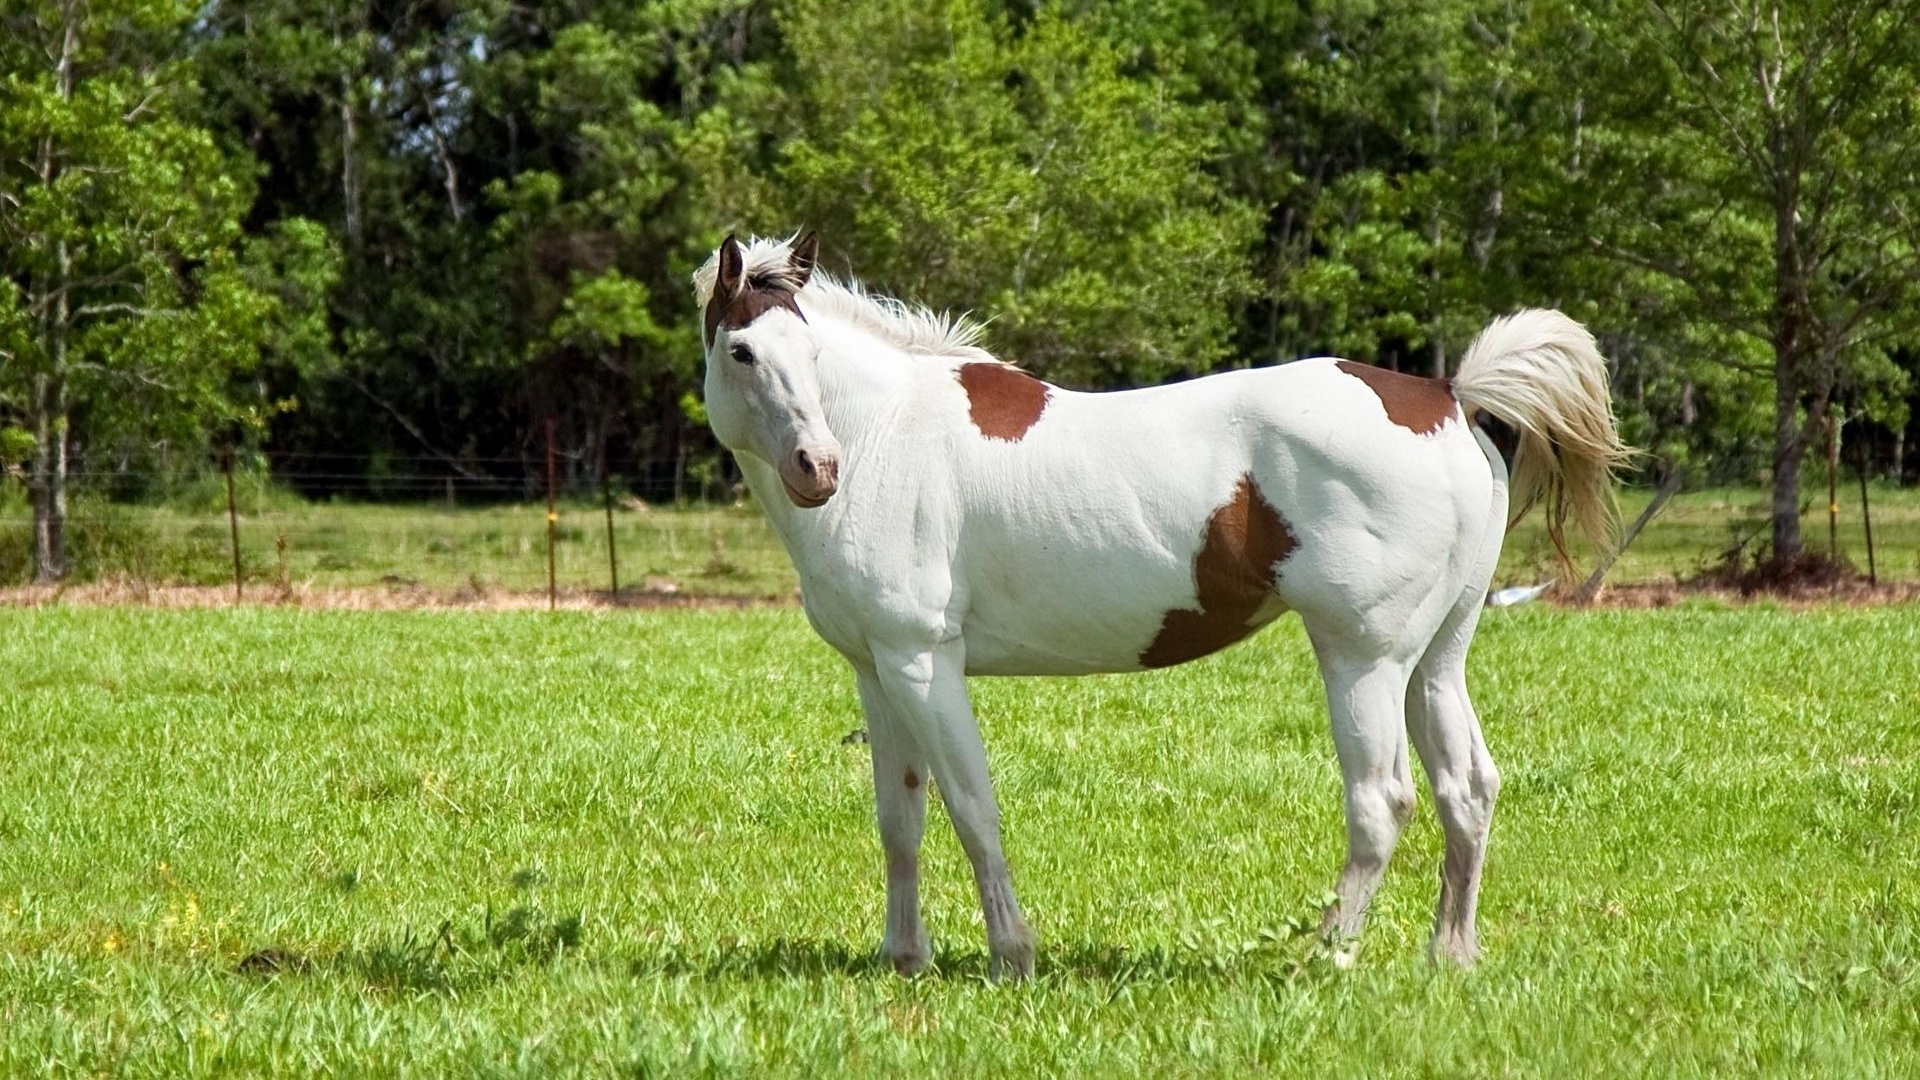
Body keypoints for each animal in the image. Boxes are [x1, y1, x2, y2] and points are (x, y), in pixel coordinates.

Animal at [692, 232, 1628, 979]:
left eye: (809, 355)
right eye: (743, 351)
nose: (818, 468)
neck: (887, 434)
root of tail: (1445, 398)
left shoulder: (925, 664)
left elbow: (971, 807)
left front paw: (1011, 956)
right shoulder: (877, 670)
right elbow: (901, 819)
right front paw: (904, 958)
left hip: (1363, 658)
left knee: (1382, 800)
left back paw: (1323, 955)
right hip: (1435, 660)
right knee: (1466, 789)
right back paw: (1450, 955)